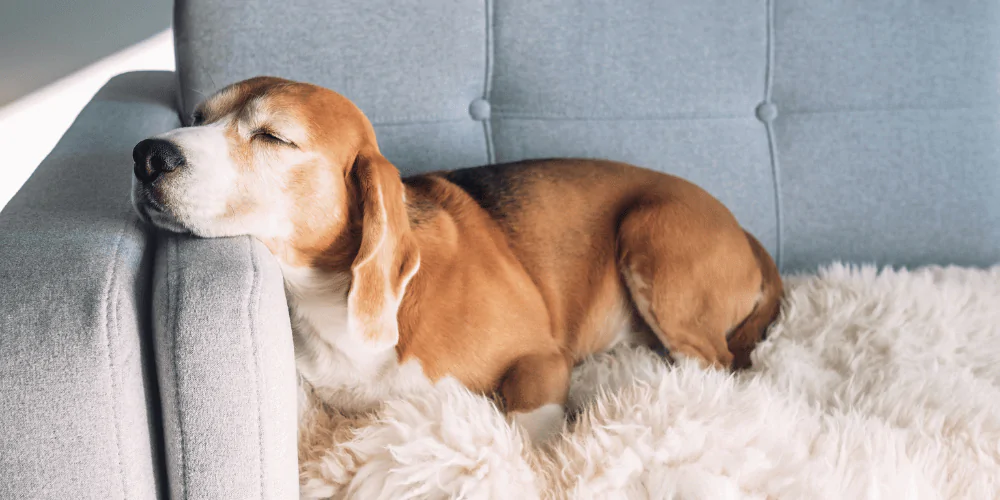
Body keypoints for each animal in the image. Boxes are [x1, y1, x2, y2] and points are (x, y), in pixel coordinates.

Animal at [133, 76, 784, 444]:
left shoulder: (540, 359)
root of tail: (744, 230)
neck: (327, 297)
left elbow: (528, 429)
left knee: (715, 363)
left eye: (273, 137)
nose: (145, 155)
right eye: (196, 118)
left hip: (651, 233)